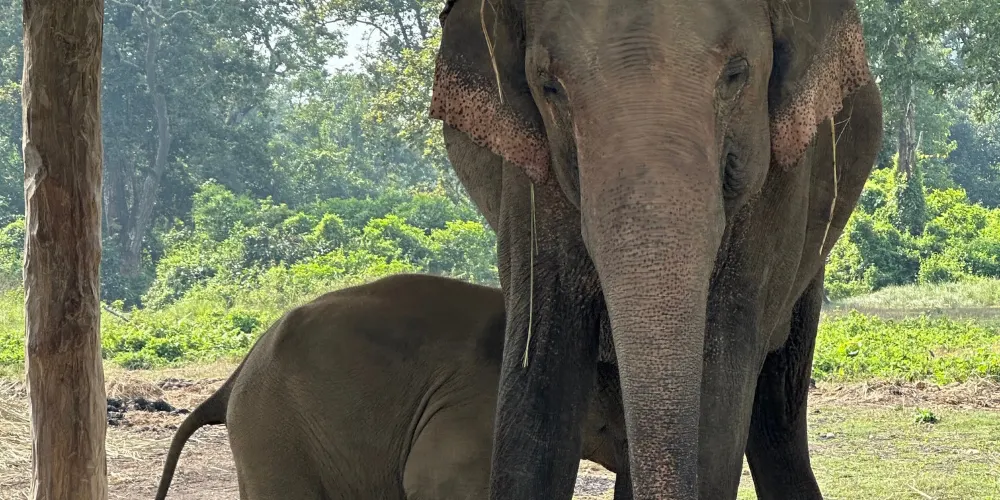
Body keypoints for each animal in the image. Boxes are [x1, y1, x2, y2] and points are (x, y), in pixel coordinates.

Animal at [429, 0, 883, 498]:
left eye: (736, 74)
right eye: (550, 88)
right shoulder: (529, 179)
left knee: (777, 414)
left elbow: (722, 372)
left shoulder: (780, 180)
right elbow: (539, 362)